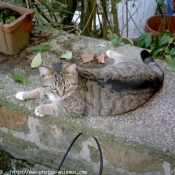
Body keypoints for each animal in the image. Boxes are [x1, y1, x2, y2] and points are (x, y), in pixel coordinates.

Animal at [15, 50, 163, 117]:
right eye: (53, 87)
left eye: (67, 86)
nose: (61, 94)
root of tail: (155, 78)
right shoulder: (47, 90)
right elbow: (38, 90)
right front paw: (22, 94)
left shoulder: (74, 108)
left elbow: (54, 107)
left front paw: (41, 109)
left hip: (127, 62)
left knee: (123, 56)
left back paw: (110, 52)